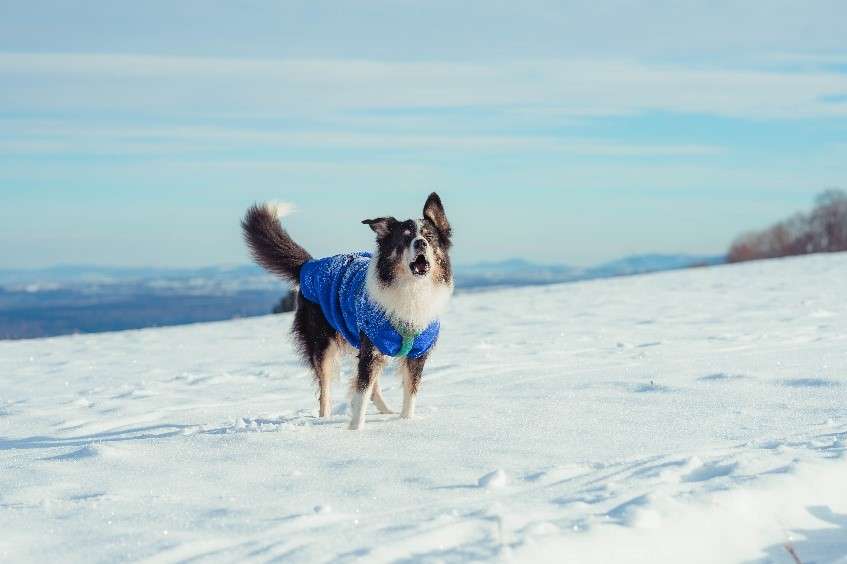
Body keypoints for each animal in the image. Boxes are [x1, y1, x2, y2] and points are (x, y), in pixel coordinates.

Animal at [242, 192, 454, 430]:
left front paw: (405, 422)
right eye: (405, 238)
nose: (420, 243)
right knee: (325, 392)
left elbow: (410, 394)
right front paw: (354, 431)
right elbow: (361, 395)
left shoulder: (417, 352)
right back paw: (326, 418)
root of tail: (311, 265)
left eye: (430, 236)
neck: (411, 289)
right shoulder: (371, 347)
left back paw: (386, 412)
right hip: (323, 343)